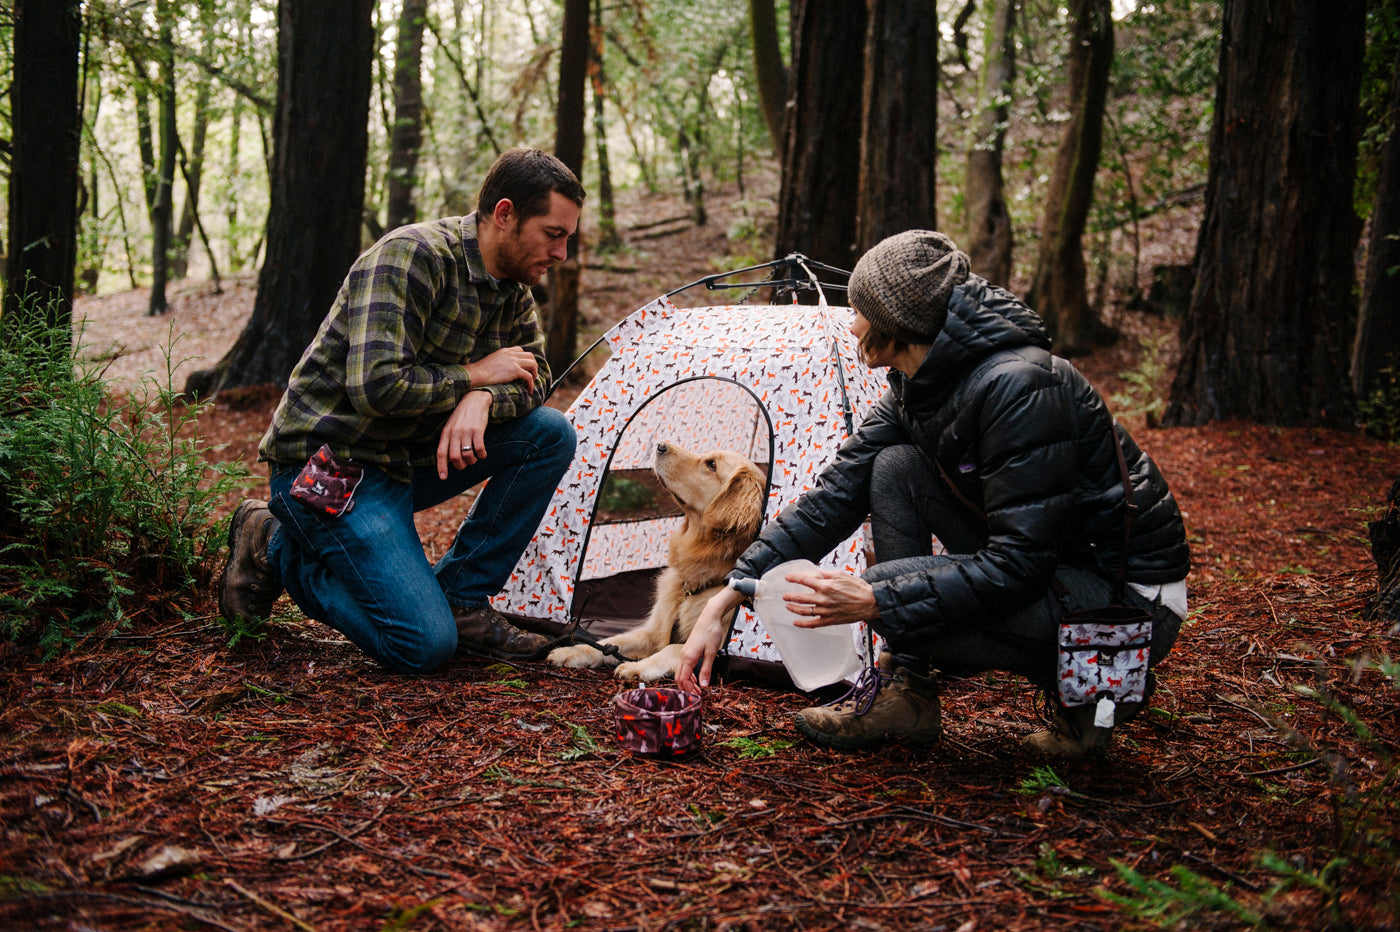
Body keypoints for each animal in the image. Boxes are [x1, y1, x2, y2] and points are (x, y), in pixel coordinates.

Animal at [546, 439, 767, 680]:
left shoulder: (714, 645)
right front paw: (571, 650)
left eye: (711, 465)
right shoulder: (653, 631)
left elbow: (672, 648)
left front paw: (638, 667)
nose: (660, 445)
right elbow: (612, 642)